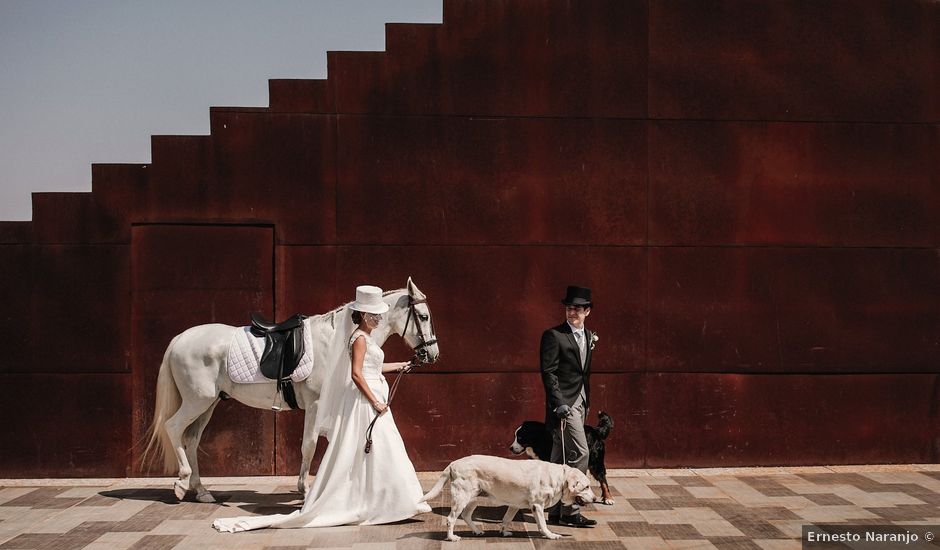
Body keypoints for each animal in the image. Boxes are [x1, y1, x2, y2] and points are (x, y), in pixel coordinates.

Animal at [143, 280, 440, 504]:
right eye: (424, 316)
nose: (432, 354)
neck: (335, 342)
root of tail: (180, 339)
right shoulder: (316, 405)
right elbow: (309, 445)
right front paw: (305, 491)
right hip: (197, 401)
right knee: (173, 428)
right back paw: (182, 483)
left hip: (209, 404)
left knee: (191, 438)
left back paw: (202, 491)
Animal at [422, 454, 600, 540]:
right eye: (586, 487)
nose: (595, 499)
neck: (559, 478)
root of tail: (453, 463)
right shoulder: (537, 505)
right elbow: (542, 524)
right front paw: (550, 535)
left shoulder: (515, 505)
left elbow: (507, 519)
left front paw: (504, 532)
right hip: (462, 498)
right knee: (451, 519)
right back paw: (451, 537)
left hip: (474, 498)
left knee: (466, 516)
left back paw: (477, 531)